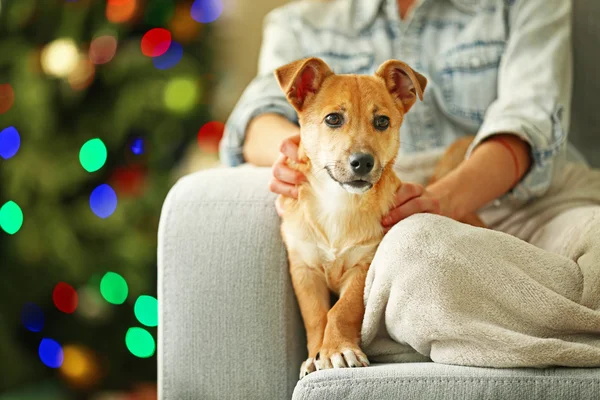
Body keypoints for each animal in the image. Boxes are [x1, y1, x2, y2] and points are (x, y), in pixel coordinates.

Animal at [274, 56, 486, 378]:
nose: (362, 162)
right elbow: (316, 316)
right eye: (333, 119)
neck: (338, 203)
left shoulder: (364, 266)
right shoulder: (304, 269)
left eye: (382, 122)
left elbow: (341, 311)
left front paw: (338, 350)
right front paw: (315, 356)